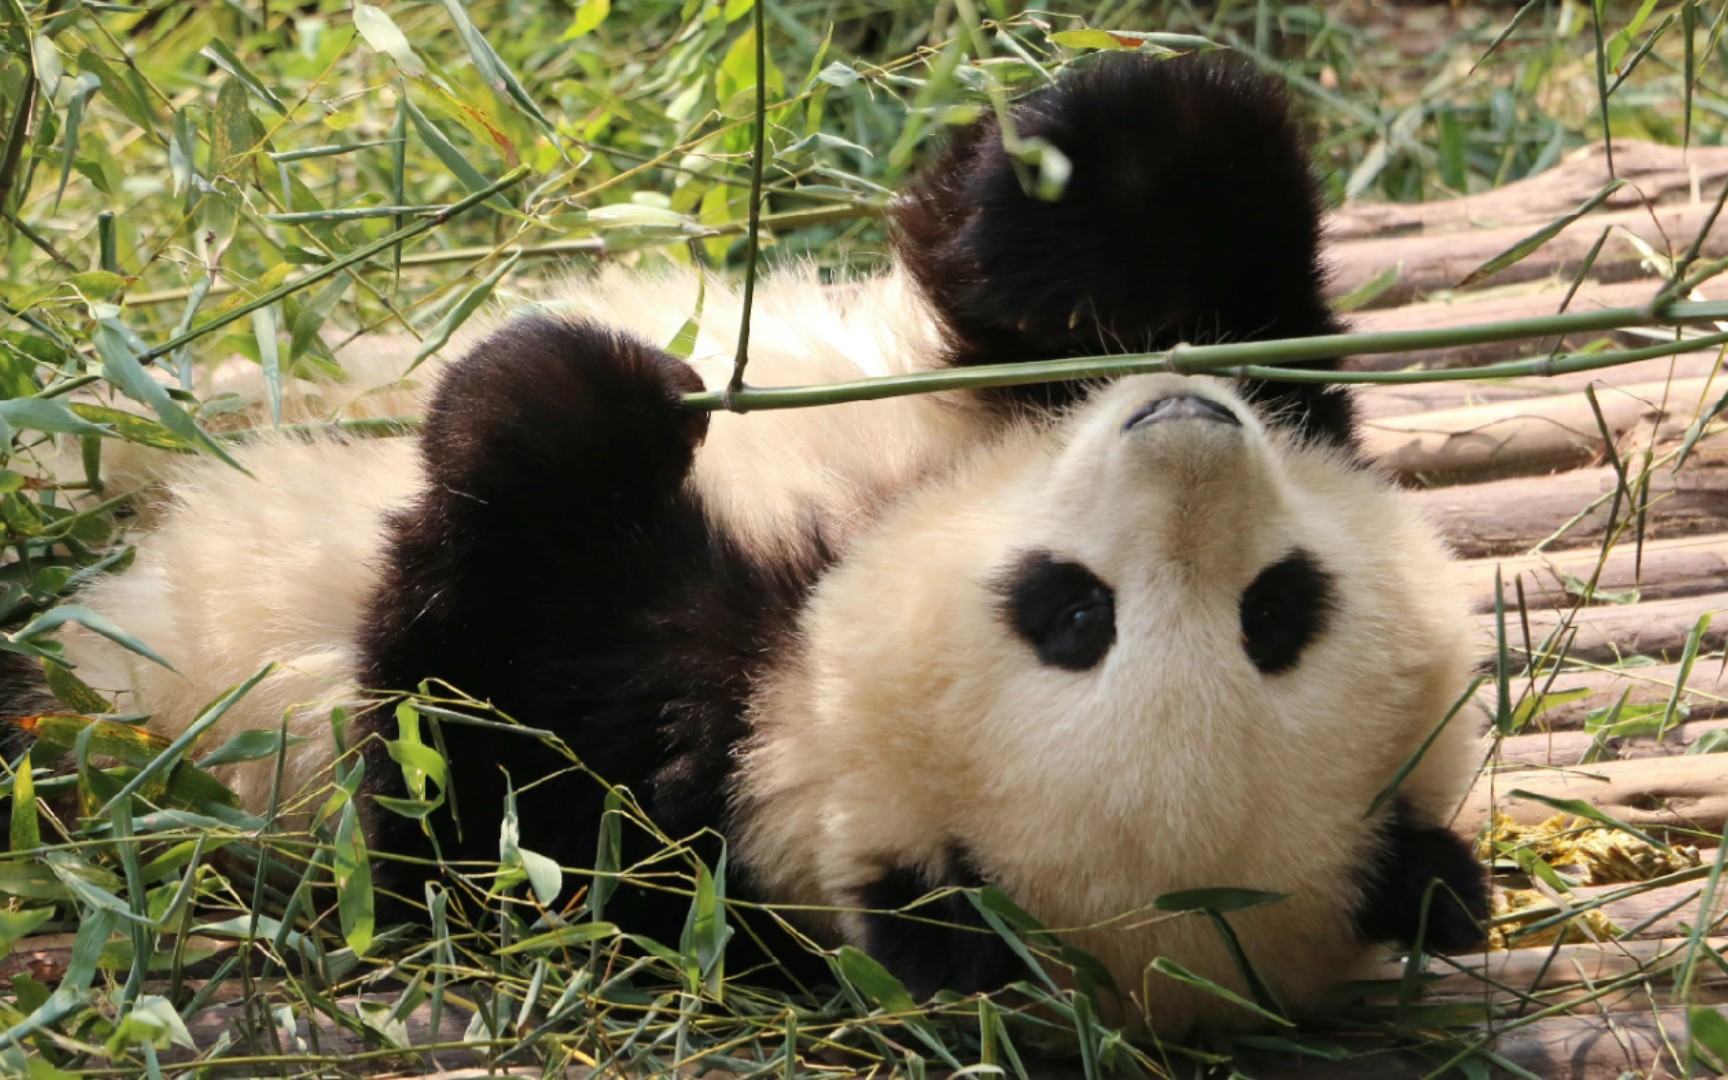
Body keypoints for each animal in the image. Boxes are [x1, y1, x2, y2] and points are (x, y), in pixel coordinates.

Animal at [6, 52, 1486, 1036]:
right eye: (1289, 606)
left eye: (1079, 617)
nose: (1188, 428)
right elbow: (1218, 283)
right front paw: (1063, 157)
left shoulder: (654, 806)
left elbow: (455, 761)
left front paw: (567, 400)